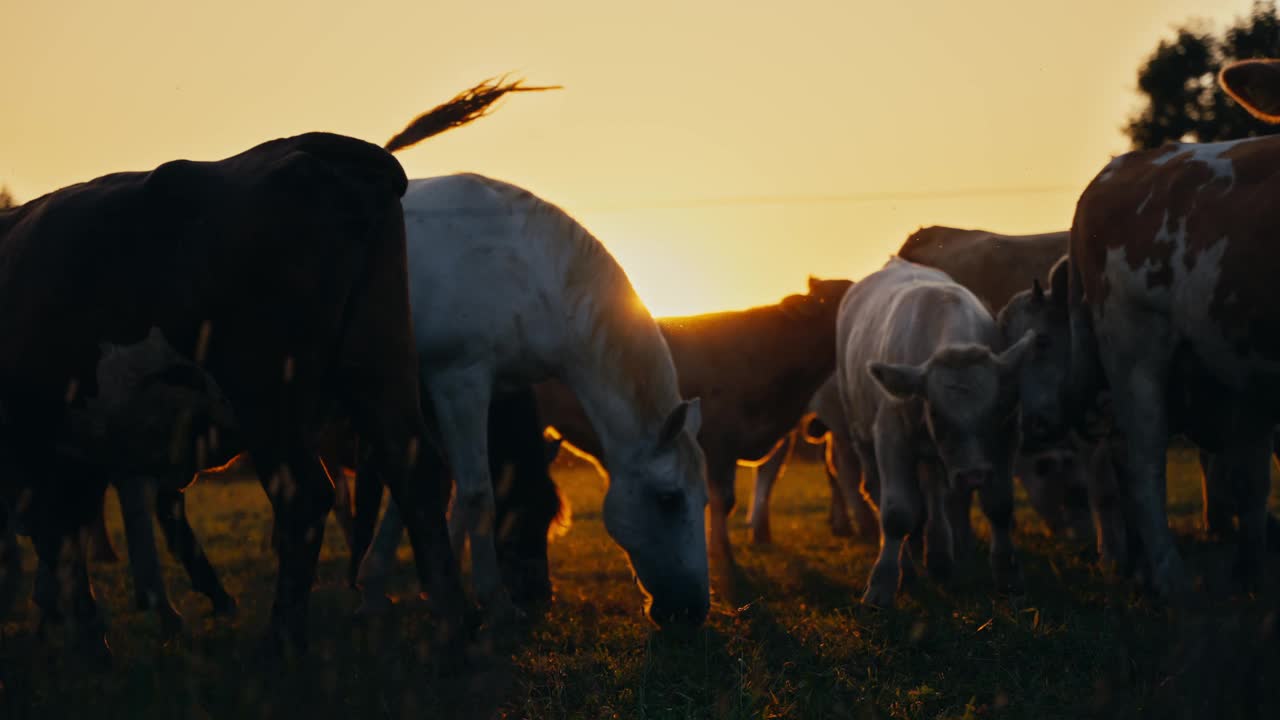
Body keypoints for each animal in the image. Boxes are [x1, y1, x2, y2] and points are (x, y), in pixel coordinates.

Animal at [355, 172, 711, 622]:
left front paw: (384, 591)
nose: (694, 611)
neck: (528, 273)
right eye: (669, 500)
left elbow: (417, 487)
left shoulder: (432, 394)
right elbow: (475, 495)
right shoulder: (459, 381)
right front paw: (496, 605)